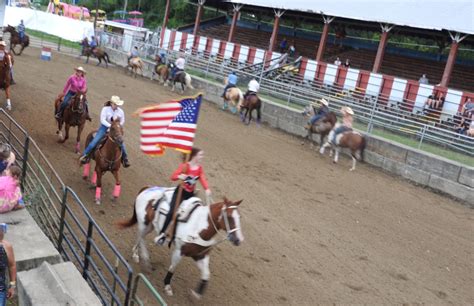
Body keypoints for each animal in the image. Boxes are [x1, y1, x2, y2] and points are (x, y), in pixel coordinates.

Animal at [116, 186, 244, 298]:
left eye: (239, 217)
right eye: (229, 217)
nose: (239, 240)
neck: (198, 227)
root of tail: (147, 188)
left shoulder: (200, 256)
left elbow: (206, 275)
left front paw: (197, 293)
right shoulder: (179, 251)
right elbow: (172, 267)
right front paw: (167, 286)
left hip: (149, 226)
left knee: (139, 237)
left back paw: (135, 254)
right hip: (144, 224)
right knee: (141, 238)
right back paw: (145, 260)